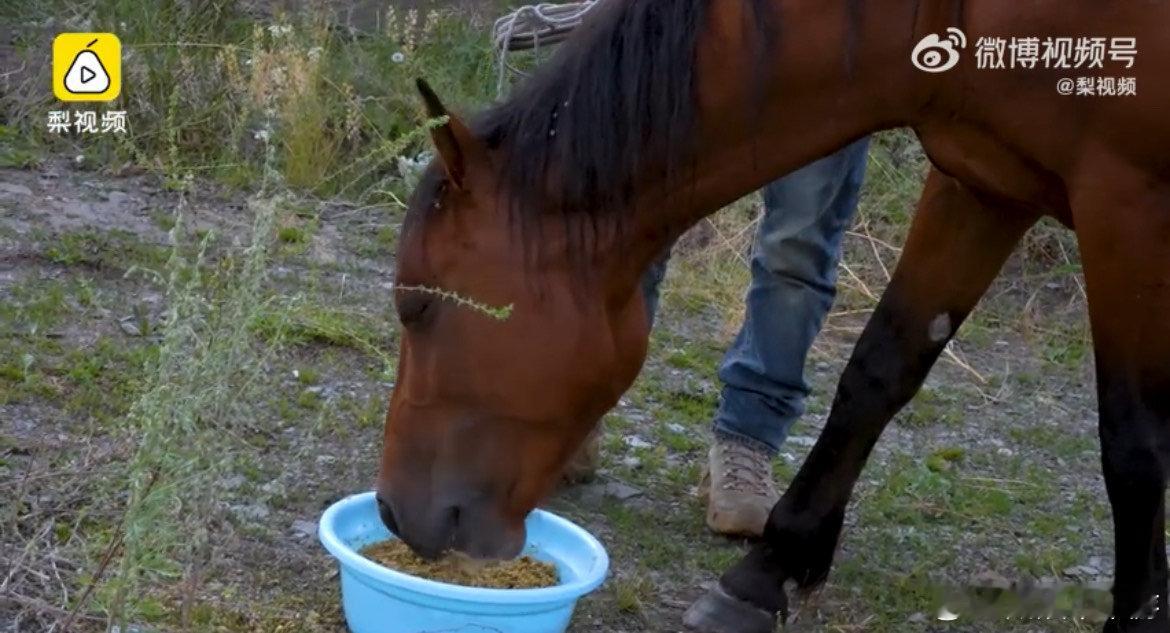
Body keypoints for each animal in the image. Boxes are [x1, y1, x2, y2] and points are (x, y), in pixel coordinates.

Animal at [375, 0, 1170, 631]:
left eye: (416, 305)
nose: (389, 512)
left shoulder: (1127, 200)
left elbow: (1133, 442)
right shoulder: (981, 181)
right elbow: (878, 371)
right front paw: (767, 572)